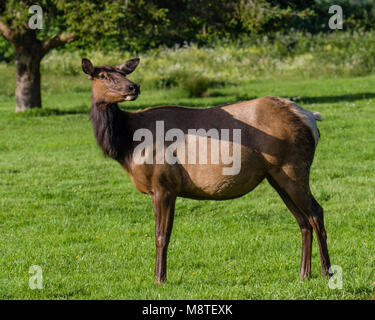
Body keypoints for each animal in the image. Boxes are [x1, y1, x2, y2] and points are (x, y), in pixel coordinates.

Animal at [81, 57, 332, 282]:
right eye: (102, 75)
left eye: (123, 72)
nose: (133, 86)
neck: (127, 145)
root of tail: (311, 118)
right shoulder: (158, 189)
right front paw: (158, 275)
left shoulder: (164, 184)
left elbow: (161, 235)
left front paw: (159, 278)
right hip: (275, 176)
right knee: (303, 221)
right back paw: (303, 274)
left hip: (293, 168)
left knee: (316, 212)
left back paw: (326, 272)